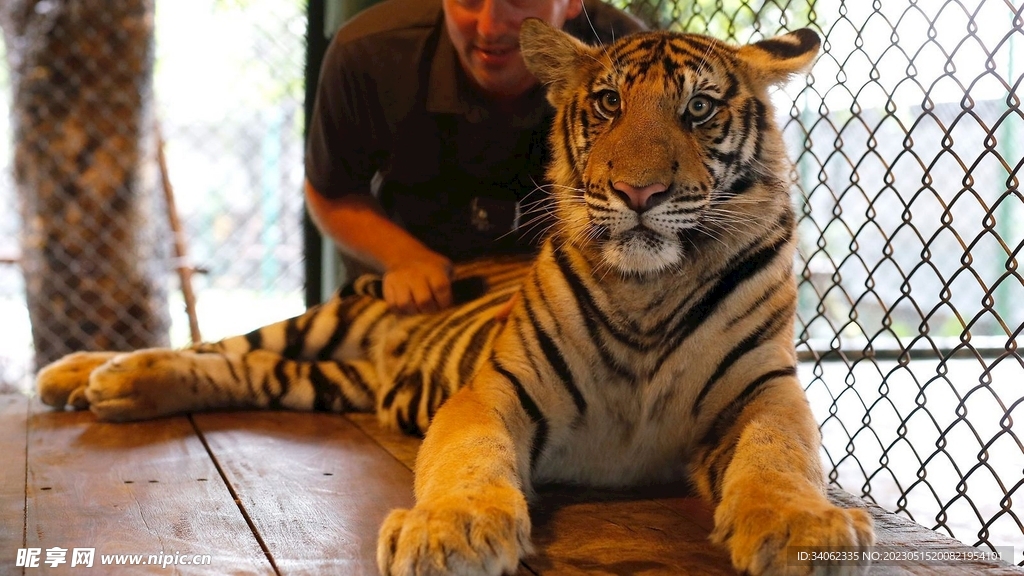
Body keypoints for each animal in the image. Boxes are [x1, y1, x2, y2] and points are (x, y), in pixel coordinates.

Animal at [36, 18, 875, 576]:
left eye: (698, 109)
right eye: (607, 104)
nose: (638, 194)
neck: (648, 287)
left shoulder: (764, 389)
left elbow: (781, 454)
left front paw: (806, 529)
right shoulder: (495, 390)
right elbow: (470, 458)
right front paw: (453, 531)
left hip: (328, 380)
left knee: (241, 372)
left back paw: (111, 386)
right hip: (325, 320)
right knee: (213, 344)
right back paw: (90, 372)